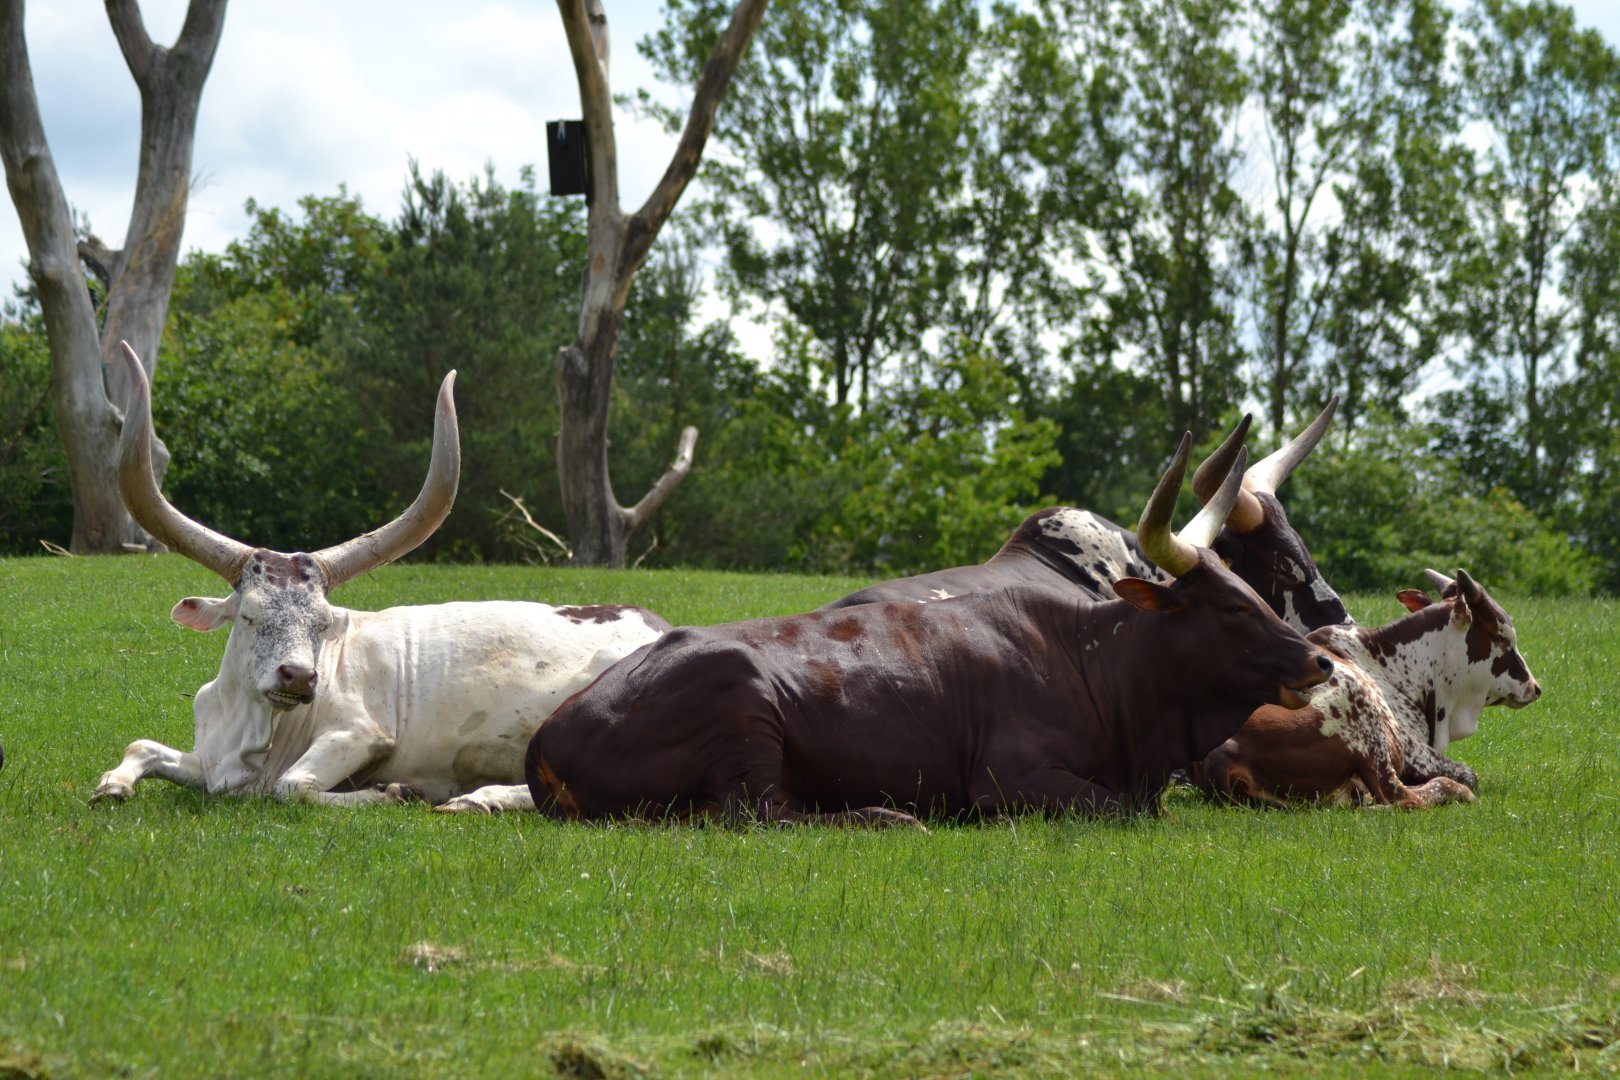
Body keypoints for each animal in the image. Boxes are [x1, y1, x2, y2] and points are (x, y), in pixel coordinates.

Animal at [92, 342, 669, 808]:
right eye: (250, 617)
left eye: (324, 624)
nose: (299, 677)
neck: (247, 729)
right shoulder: (207, 760)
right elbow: (142, 746)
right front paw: (111, 786)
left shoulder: (360, 734)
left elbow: (290, 787)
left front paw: (391, 792)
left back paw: (477, 798)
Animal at [523, 435, 1337, 826]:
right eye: (1233, 609)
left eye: (1253, 593)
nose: (1320, 662)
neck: (1094, 663)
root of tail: (551, 732)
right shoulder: (1010, 780)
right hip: (744, 707)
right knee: (755, 816)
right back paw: (884, 816)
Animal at [1188, 569, 1541, 808]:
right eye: (1502, 637)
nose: (1535, 688)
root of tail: (1222, 752)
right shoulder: (1412, 749)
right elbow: (1468, 774)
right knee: (1401, 796)